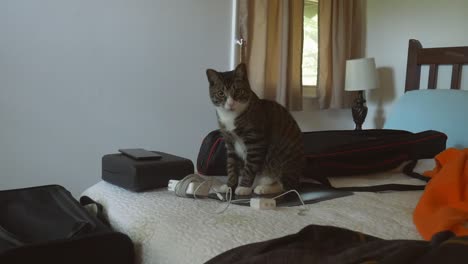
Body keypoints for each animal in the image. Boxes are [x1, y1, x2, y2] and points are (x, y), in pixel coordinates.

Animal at [205, 63, 304, 196]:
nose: (230, 103)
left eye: (238, 91)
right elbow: (231, 166)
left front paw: (243, 187)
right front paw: (229, 186)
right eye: (221, 93)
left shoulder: (255, 141)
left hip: (283, 161)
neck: (230, 117)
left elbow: (250, 166)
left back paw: (263, 188)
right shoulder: (229, 142)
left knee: (286, 186)